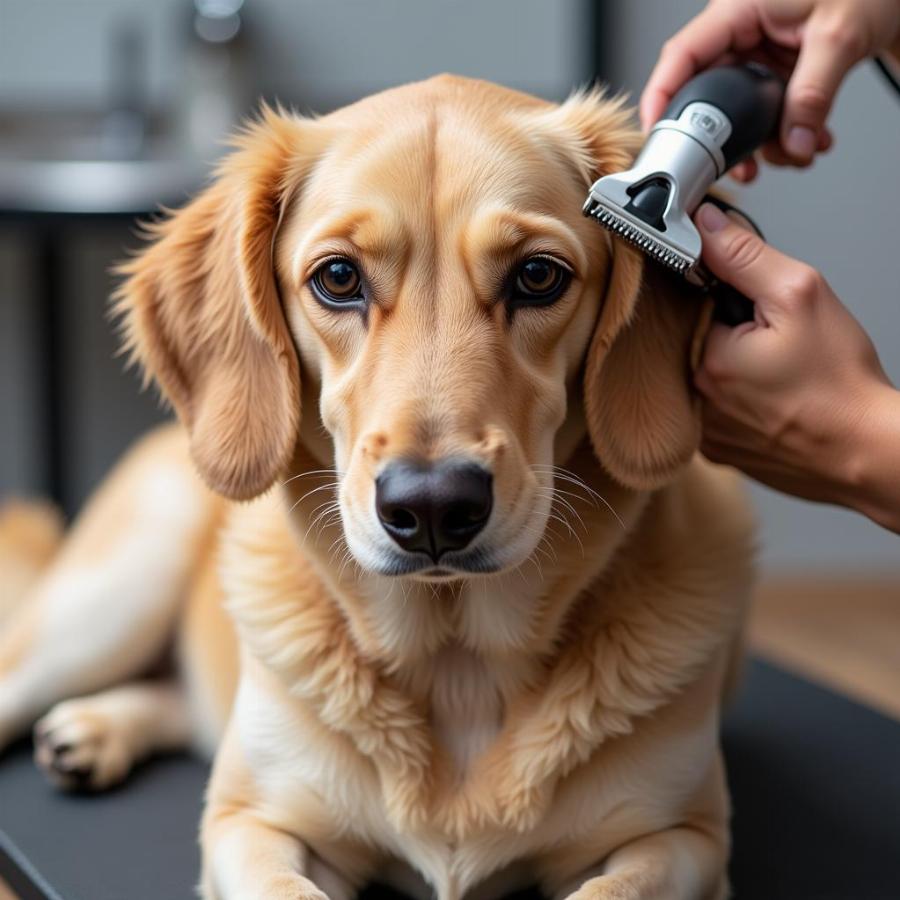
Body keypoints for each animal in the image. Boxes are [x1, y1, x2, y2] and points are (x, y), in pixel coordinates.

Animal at [0, 77, 756, 900]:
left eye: (538, 276)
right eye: (338, 278)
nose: (432, 508)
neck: (456, 665)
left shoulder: (685, 839)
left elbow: (611, 888)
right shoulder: (248, 825)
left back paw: (97, 730)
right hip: (109, 599)